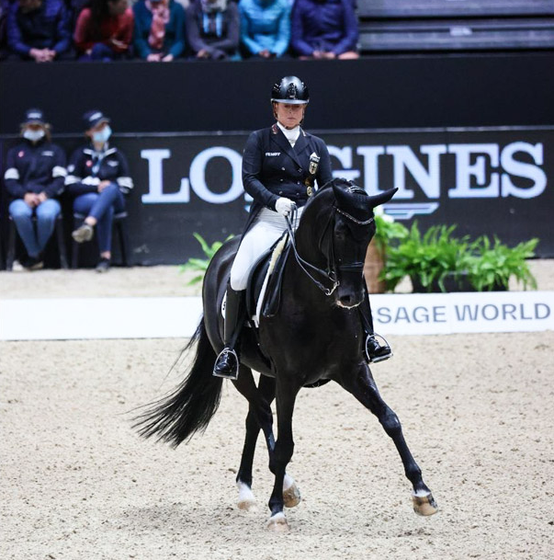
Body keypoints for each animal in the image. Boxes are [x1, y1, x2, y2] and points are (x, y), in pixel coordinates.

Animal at [134, 178, 436, 528]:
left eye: (371, 232)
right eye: (340, 231)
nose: (351, 297)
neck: (317, 303)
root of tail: (223, 255)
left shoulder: (352, 370)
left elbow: (390, 420)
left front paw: (422, 493)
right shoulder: (290, 379)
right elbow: (286, 443)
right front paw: (276, 508)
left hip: (269, 374)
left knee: (254, 417)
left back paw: (248, 488)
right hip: (243, 371)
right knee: (263, 414)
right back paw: (279, 489)